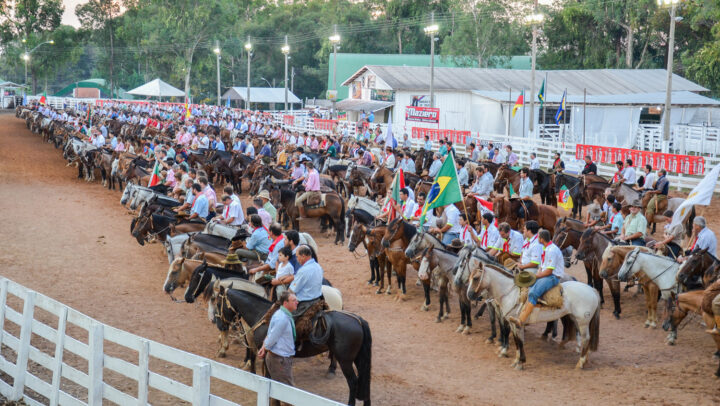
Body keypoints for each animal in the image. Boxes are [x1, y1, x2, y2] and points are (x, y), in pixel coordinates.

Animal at [212, 288, 372, 404]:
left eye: (218, 304)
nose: (219, 324)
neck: (263, 316)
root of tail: (358, 320)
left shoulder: (267, 353)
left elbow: (268, 376)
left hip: (345, 361)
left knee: (353, 382)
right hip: (358, 359)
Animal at [464, 262, 600, 370]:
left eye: (475, 278)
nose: (469, 295)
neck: (510, 293)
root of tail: (592, 290)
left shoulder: (517, 324)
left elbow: (519, 341)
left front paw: (520, 362)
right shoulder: (512, 323)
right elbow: (517, 341)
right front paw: (516, 360)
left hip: (583, 321)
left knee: (586, 338)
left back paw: (580, 363)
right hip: (575, 318)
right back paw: (584, 359)